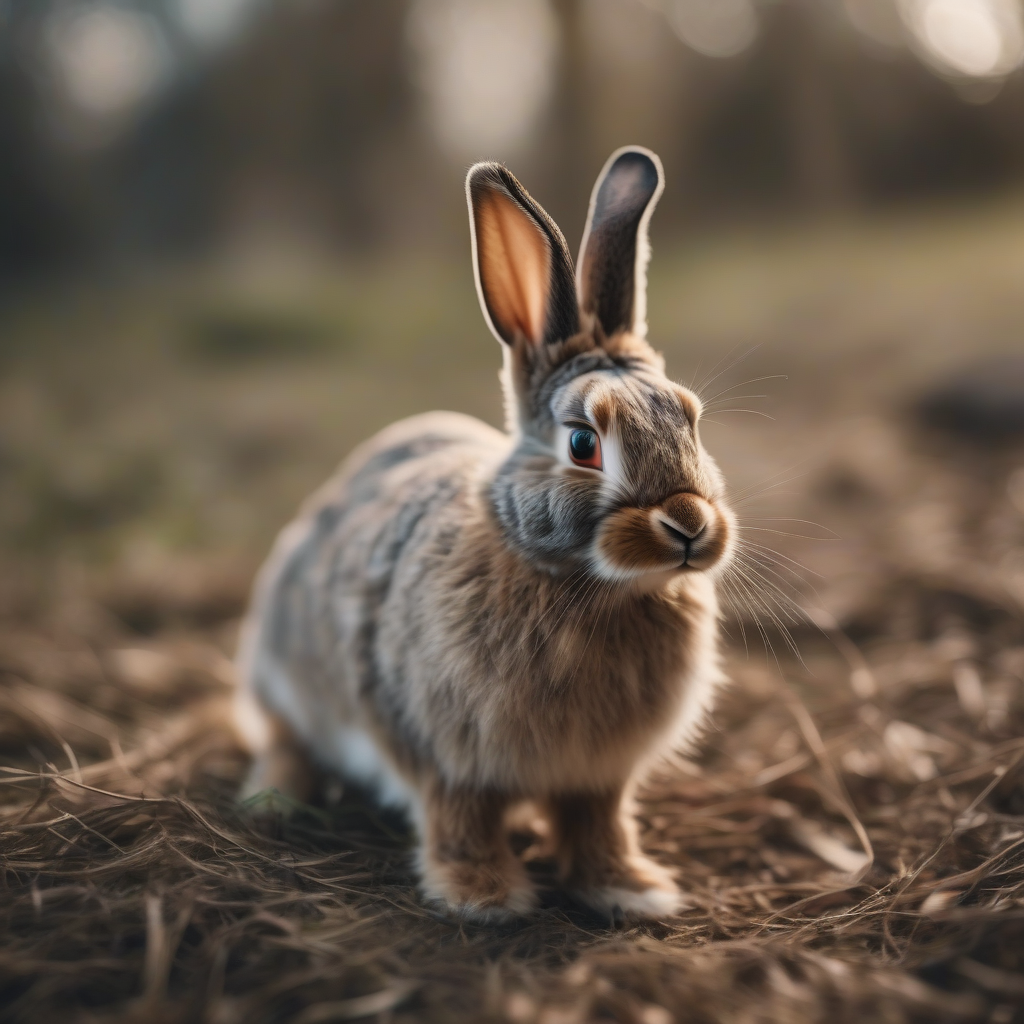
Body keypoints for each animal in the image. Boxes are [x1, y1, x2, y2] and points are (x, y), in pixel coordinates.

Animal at [234, 146, 735, 921]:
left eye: (690, 418)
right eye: (584, 443)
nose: (688, 526)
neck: (586, 584)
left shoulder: (600, 777)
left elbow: (599, 824)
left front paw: (631, 888)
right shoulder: (444, 756)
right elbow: (459, 820)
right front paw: (485, 896)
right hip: (288, 681)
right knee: (288, 740)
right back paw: (273, 800)